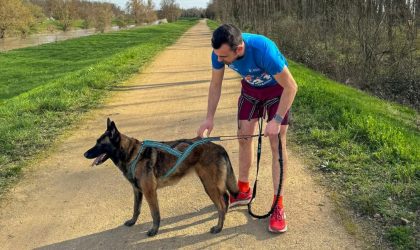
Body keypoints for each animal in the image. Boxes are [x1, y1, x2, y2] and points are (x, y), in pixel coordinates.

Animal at [84, 118, 240, 236]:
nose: (85, 154)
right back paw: (224, 217)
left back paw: (219, 227)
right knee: (225, 198)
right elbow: (136, 209)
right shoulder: (137, 191)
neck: (132, 154)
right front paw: (132, 222)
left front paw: (154, 230)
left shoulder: (149, 192)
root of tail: (219, 147)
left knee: (221, 204)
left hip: (209, 185)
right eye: (96, 142)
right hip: (213, 184)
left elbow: (155, 214)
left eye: (100, 143)